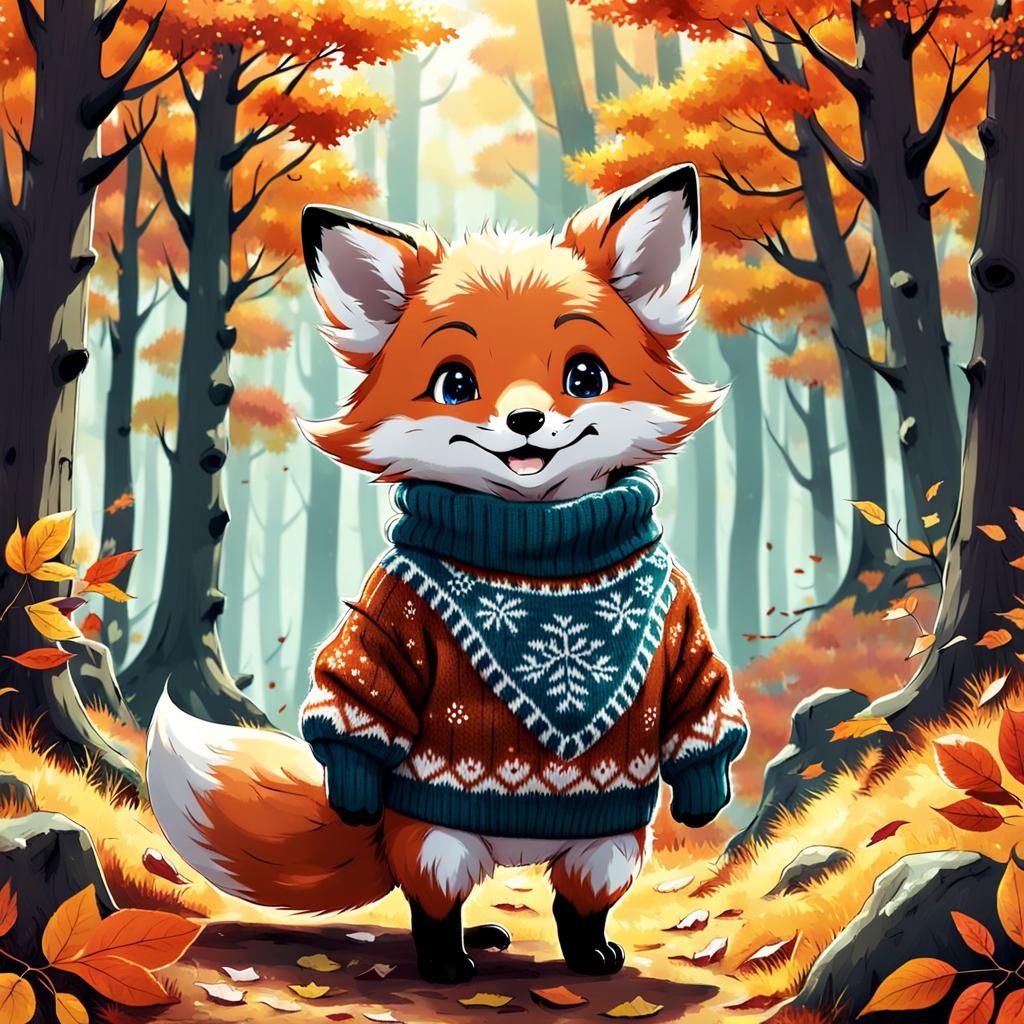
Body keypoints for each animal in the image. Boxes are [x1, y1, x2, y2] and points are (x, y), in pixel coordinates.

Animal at [147, 163, 748, 985]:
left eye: (584, 374)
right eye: (456, 384)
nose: (526, 421)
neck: (538, 551)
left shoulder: (679, 617)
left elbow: (700, 696)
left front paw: (705, 792)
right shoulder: (391, 608)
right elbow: (359, 688)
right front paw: (352, 785)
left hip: (609, 846)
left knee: (577, 902)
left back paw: (587, 955)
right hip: (439, 844)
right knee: (434, 905)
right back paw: (452, 959)